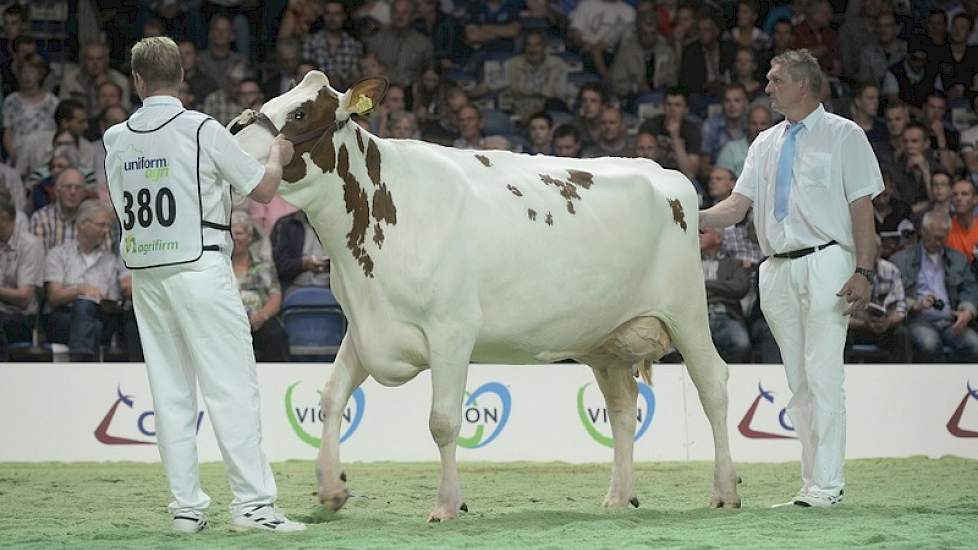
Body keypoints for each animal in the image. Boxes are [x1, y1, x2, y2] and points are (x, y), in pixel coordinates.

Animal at [231, 71, 740, 524]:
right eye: (272, 99)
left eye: (299, 112)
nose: (233, 134)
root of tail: (666, 174)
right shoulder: (366, 326)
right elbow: (332, 396)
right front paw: (331, 489)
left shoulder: (451, 330)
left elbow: (442, 420)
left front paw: (447, 505)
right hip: (605, 340)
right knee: (622, 407)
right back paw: (618, 496)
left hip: (686, 309)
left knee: (713, 384)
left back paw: (725, 491)